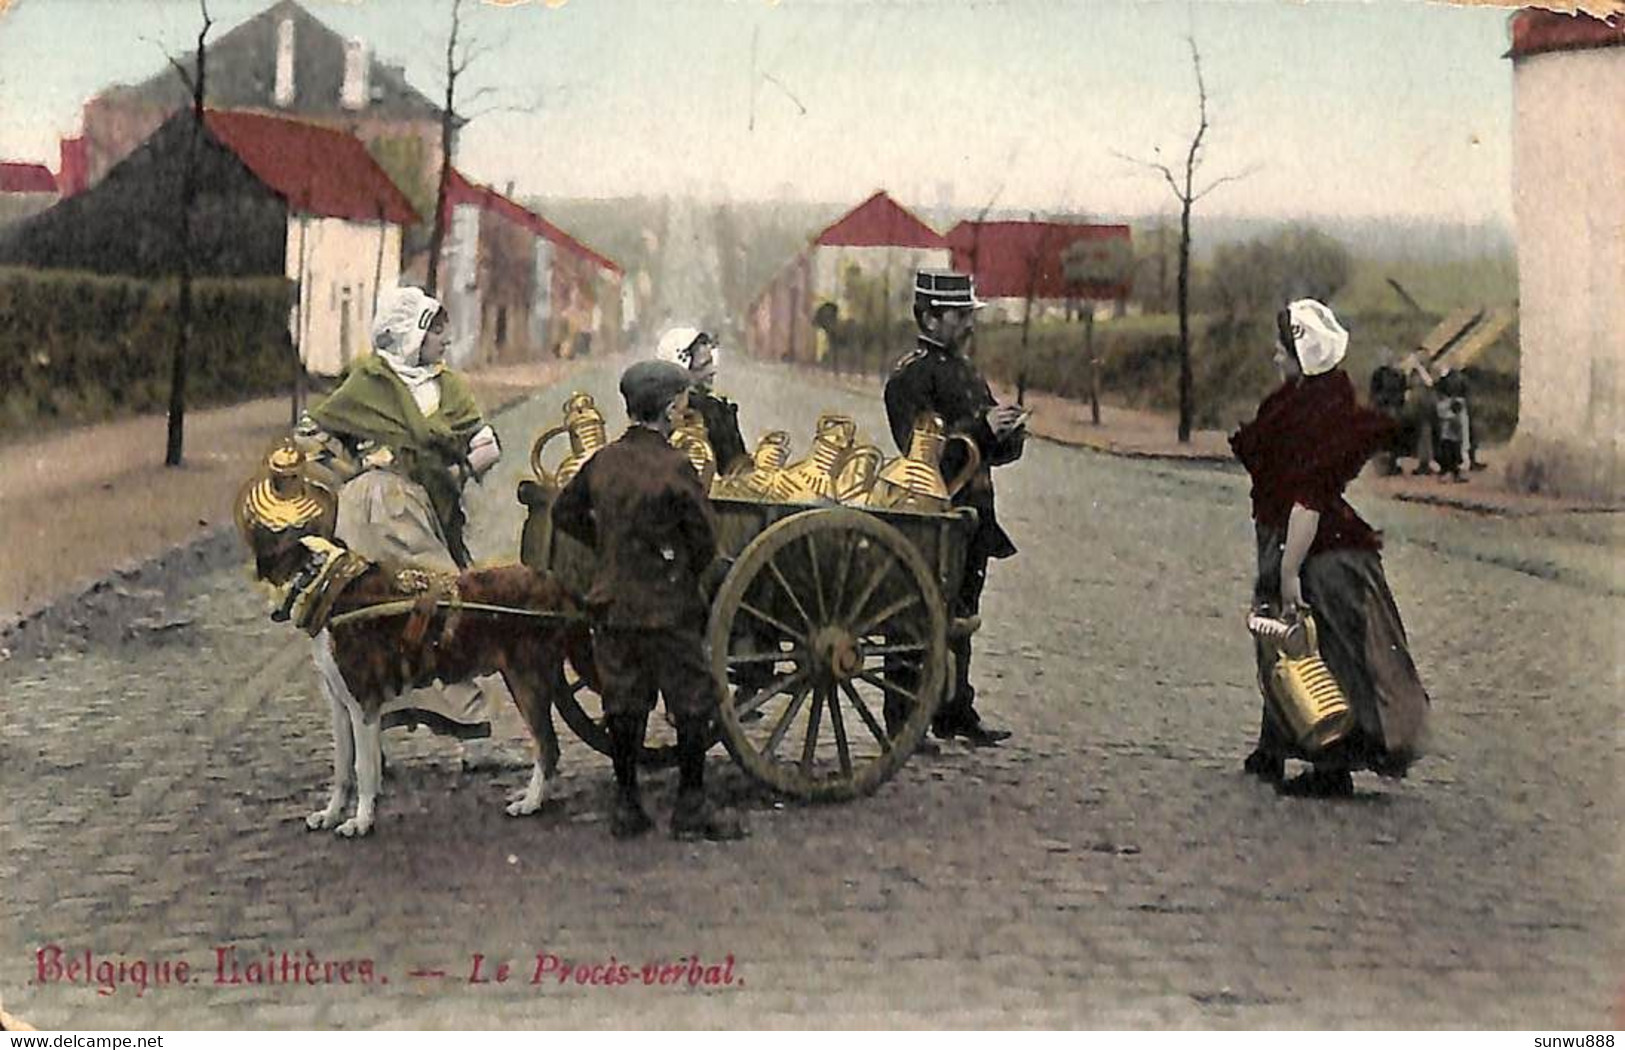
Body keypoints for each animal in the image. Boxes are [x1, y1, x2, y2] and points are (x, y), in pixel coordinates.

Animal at [256, 529, 601, 845]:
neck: (330, 591)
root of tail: (555, 583)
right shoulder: (340, 707)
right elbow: (342, 770)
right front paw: (330, 815)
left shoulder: (363, 706)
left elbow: (363, 768)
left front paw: (362, 821)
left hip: (526, 679)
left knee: (547, 746)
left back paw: (531, 803)